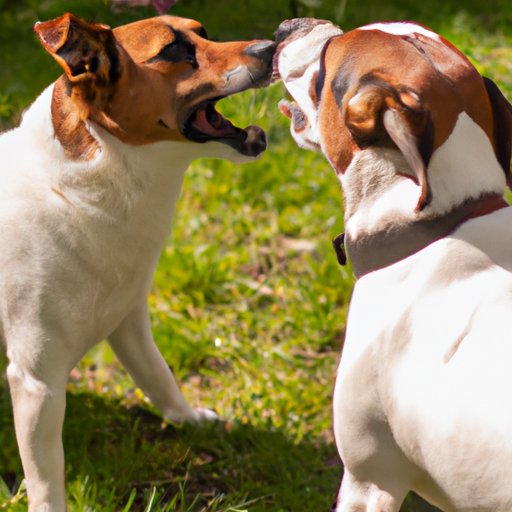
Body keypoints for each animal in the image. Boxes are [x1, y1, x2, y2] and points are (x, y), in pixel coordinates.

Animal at [1, 12, 276, 512]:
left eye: (203, 32)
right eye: (173, 51)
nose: (270, 47)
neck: (71, 194)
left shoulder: (129, 319)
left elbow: (158, 374)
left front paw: (188, 419)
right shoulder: (37, 382)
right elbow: (47, 478)